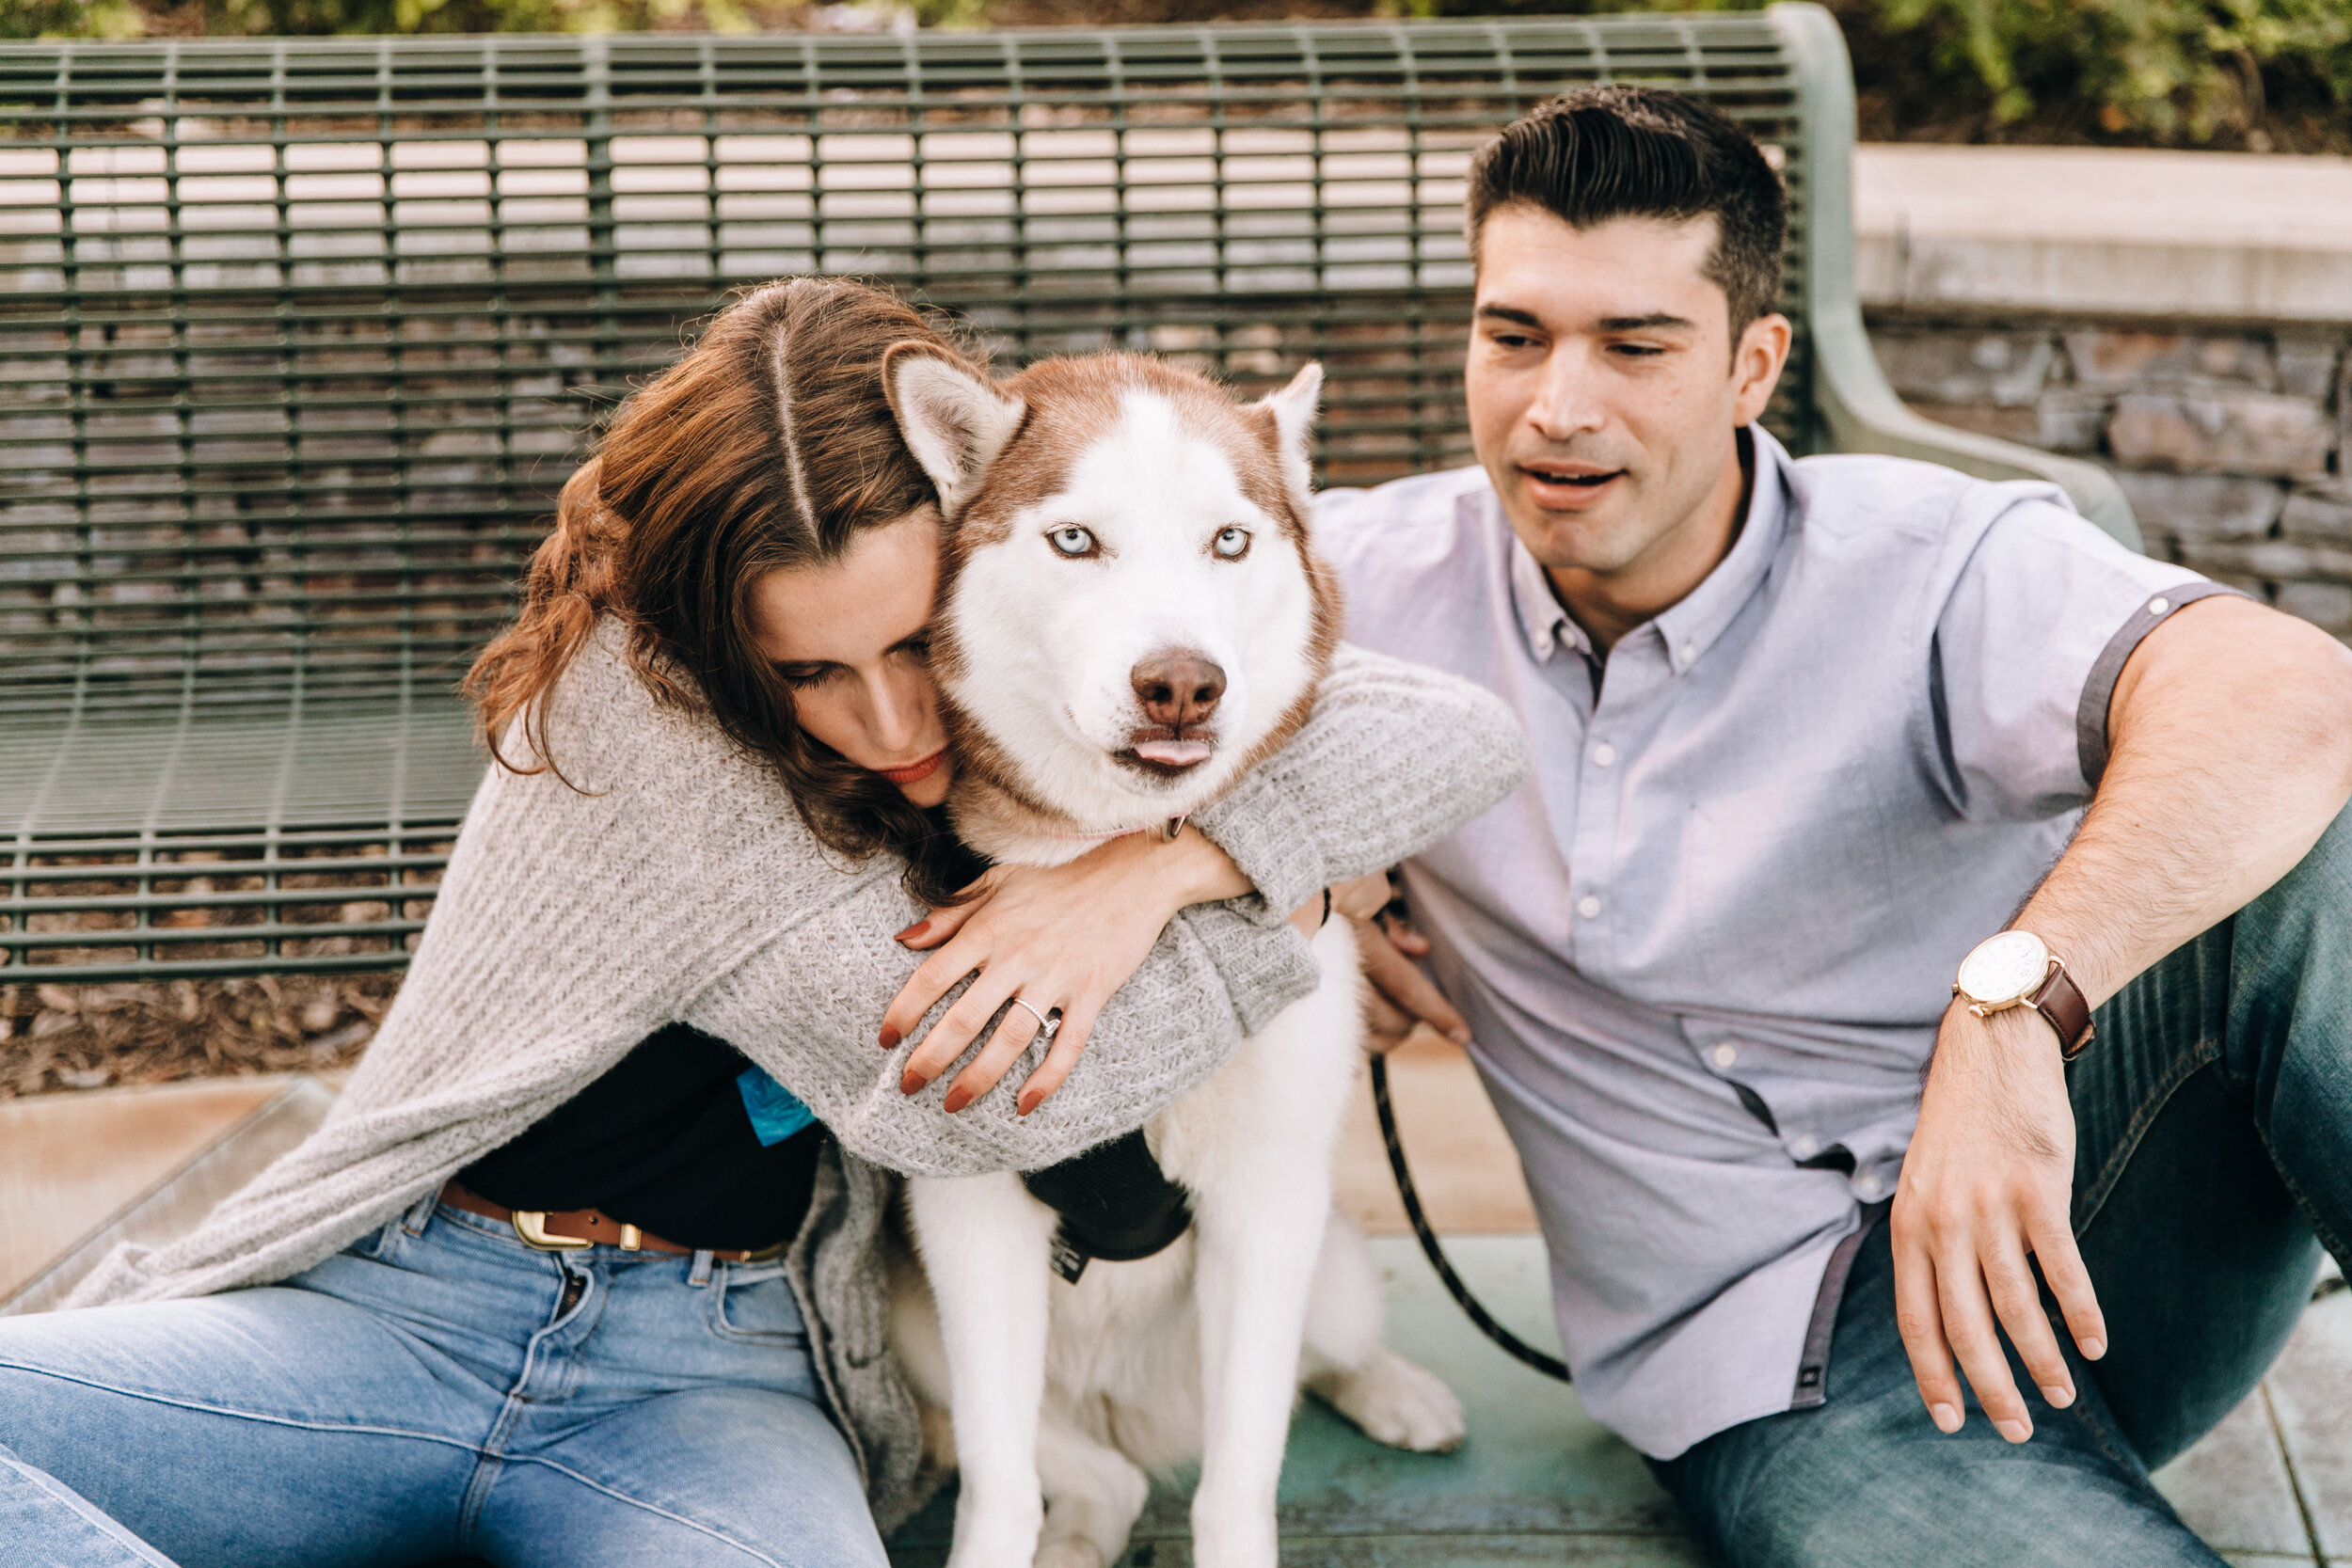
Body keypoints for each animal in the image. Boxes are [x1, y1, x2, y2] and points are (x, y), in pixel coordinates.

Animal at [884, 355, 1468, 1568]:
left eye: (1228, 541)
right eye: (1074, 540)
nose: (1183, 682)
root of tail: (1133, 1409)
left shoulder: (1263, 1199)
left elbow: (1238, 1483)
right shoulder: (968, 1224)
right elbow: (998, 1486)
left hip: (1324, 1265)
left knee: (1324, 1352)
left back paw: (1397, 1392)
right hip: (916, 1325)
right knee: (1094, 1474)